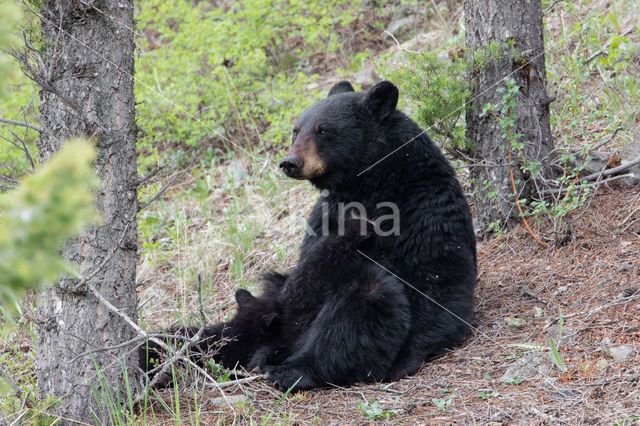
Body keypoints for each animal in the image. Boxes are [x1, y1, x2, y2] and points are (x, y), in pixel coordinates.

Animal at [258, 80, 478, 390]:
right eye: (296, 130)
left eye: (323, 130)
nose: (289, 162)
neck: (371, 186)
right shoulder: (325, 215)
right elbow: (305, 276)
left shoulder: (423, 210)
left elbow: (437, 278)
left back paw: (295, 369)